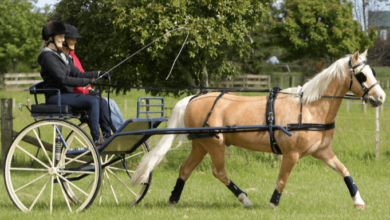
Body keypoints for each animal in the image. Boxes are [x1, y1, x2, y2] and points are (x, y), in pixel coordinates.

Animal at [133, 50, 386, 210]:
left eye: (373, 71)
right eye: (362, 75)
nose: (381, 97)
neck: (310, 107)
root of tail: (194, 98)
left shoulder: (322, 151)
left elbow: (344, 171)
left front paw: (358, 201)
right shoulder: (291, 154)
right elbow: (282, 180)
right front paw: (273, 204)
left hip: (201, 144)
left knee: (185, 170)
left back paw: (173, 200)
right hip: (214, 144)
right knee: (219, 172)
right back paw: (245, 199)